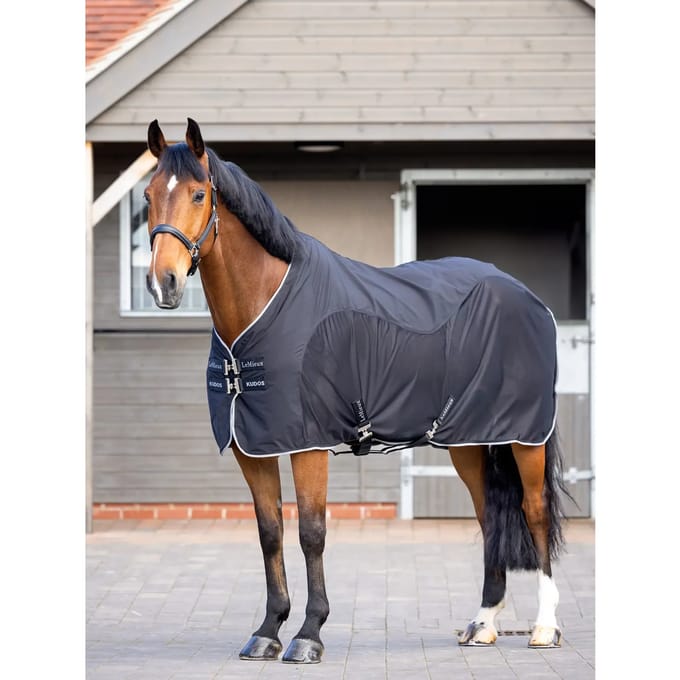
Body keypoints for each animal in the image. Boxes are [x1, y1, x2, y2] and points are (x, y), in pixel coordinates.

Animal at [143, 118, 570, 664]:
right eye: (149, 195)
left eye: (199, 194)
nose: (164, 282)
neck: (265, 304)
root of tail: (524, 295)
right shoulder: (252, 446)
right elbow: (269, 533)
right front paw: (267, 630)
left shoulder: (306, 445)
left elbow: (311, 533)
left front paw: (308, 634)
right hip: (469, 441)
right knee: (488, 516)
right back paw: (482, 623)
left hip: (524, 437)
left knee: (534, 512)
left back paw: (544, 627)